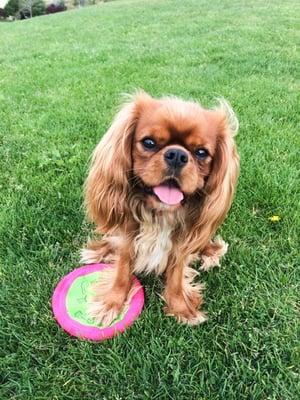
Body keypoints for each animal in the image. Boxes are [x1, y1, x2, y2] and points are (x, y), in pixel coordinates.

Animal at [81, 92, 239, 326]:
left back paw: (211, 252)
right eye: (149, 142)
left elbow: (176, 276)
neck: (161, 214)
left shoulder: (181, 245)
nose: (177, 155)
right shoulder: (128, 236)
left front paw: (181, 308)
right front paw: (111, 303)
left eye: (201, 152)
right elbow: (122, 269)